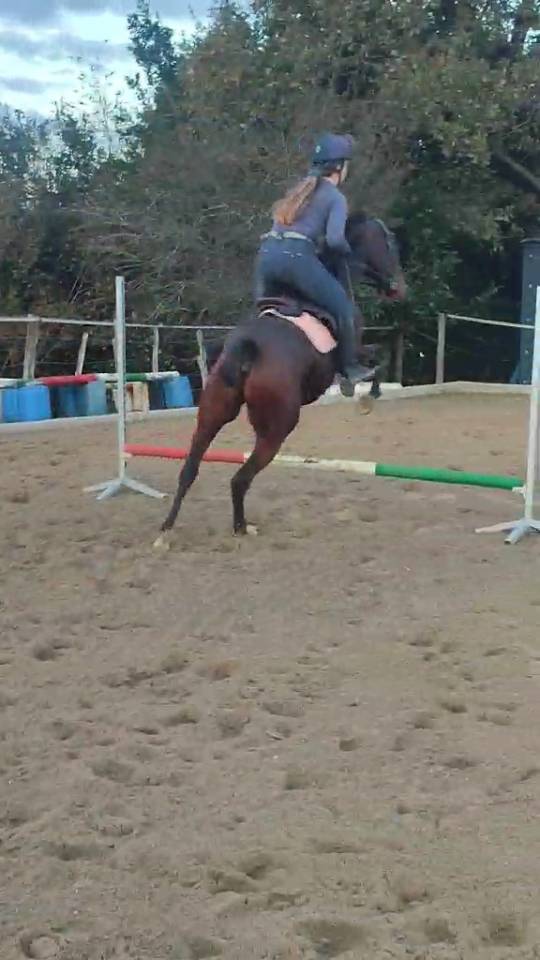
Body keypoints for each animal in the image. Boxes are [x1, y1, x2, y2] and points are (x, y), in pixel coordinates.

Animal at [155, 215, 406, 546]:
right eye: (390, 244)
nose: (398, 288)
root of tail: (247, 346)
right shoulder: (356, 346)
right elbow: (377, 359)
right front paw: (363, 393)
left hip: (212, 414)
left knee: (189, 470)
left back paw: (167, 529)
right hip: (276, 430)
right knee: (240, 479)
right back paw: (241, 527)